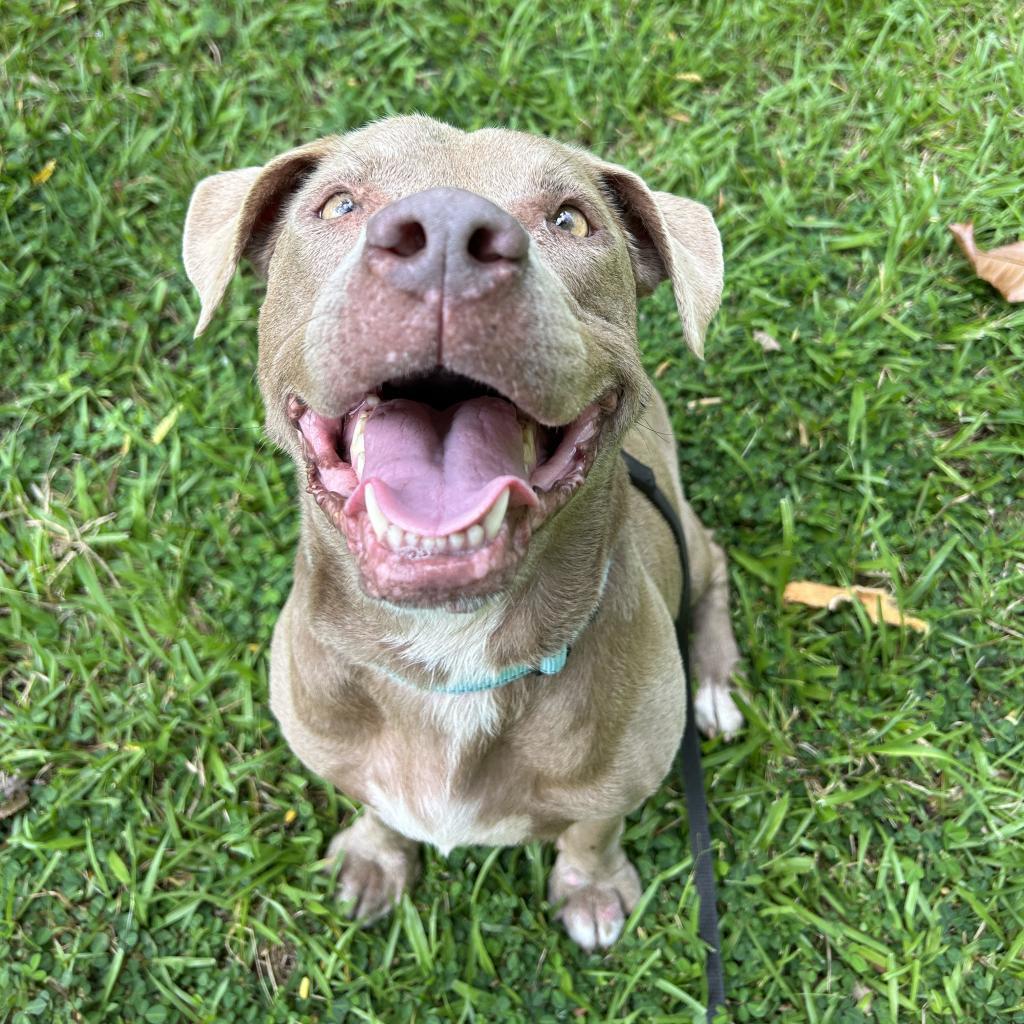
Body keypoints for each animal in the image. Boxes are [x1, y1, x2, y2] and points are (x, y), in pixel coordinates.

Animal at [184, 114, 741, 950]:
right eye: (338, 204)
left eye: (573, 219)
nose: (446, 235)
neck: (451, 656)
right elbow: (376, 803)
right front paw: (375, 859)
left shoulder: (620, 777)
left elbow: (593, 829)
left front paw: (592, 889)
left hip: (693, 543)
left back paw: (715, 683)